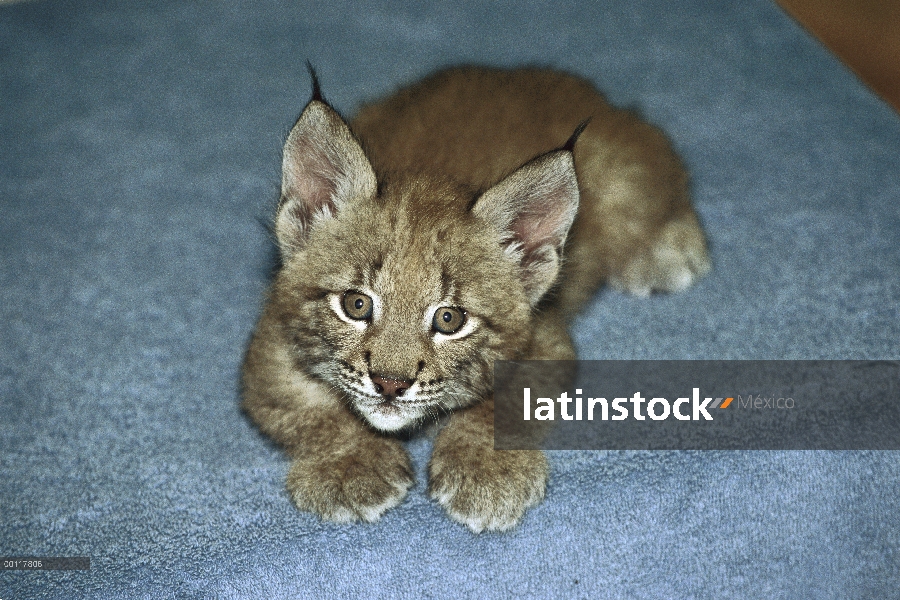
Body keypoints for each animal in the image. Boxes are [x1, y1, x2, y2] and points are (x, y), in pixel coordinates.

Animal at [241, 67, 712, 528]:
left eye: (449, 319)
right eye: (356, 305)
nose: (390, 384)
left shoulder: (545, 337)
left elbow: (505, 403)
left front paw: (485, 471)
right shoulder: (272, 338)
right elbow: (306, 408)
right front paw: (350, 463)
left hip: (622, 177)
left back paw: (666, 250)